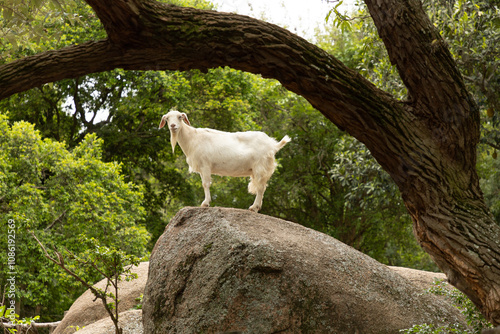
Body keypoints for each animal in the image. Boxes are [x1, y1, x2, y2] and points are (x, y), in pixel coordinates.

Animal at [158, 111, 292, 213]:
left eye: (180, 117)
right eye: (167, 118)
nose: (173, 126)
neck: (192, 138)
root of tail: (272, 145)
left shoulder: (205, 165)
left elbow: (205, 184)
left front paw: (205, 203)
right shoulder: (201, 168)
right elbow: (204, 183)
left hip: (260, 166)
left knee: (260, 187)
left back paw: (254, 207)